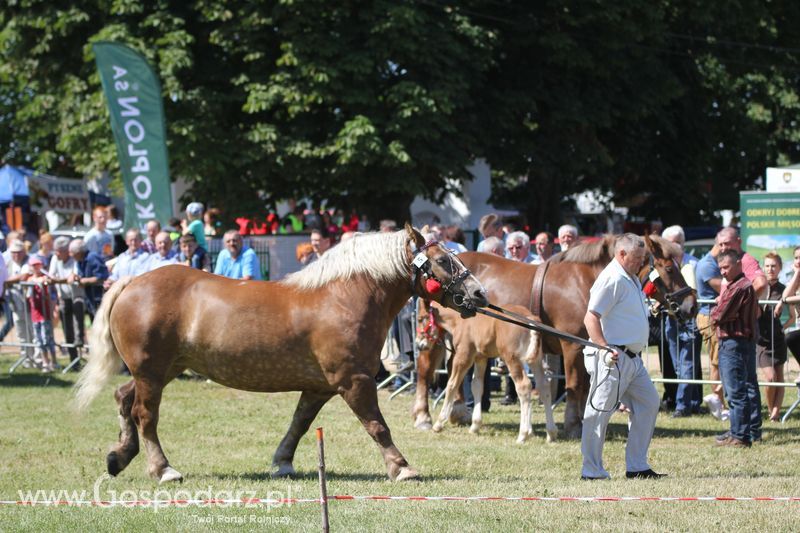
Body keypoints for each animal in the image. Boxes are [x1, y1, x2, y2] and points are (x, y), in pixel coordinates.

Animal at [75, 224, 488, 482]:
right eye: (443, 261)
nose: (479, 294)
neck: (343, 297)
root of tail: (131, 282)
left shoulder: (320, 386)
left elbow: (299, 424)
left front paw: (282, 463)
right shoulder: (354, 381)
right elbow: (377, 426)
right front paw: (401, 467)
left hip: (162, 369)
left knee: (123, 397)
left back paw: (119, 456)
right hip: (151, 371)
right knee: (145, 415)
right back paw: (162, 469)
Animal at [416, 235, 696, 438]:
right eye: (669, 268)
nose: (691, 305)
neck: (583, 282)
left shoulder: (588, 347)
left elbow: (585, 388)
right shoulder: (571, 345)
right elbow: (574, 386)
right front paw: (573, 425)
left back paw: (458, 413)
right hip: (433, 336)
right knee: (426, 371)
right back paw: (424, 417)